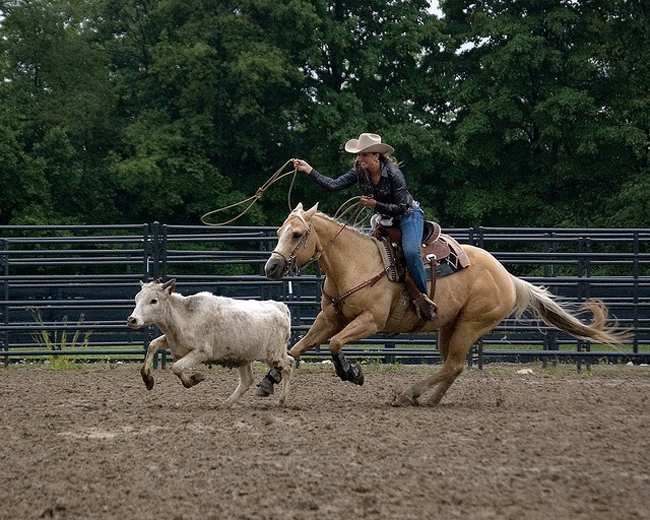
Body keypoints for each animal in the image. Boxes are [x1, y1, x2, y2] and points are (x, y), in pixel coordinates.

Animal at [126, 280, 294, 406]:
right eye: (137, 298)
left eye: (153, 300)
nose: (132, 319)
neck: (185, 315)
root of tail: (281, 307)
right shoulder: (173, 342)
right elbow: (152, 345)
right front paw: (148, 380)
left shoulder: (201, 352)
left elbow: (177, 367)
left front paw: (195, 379)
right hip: (243, 357)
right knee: (247, 381)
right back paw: (226, 404)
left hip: (274, 355)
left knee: (288, 365)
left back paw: (282, 400)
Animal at [260, 203, 624, 406]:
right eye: (278, 231)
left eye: (296, 234)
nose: (271, 267)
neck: (354, 263)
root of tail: (507, 276)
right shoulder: (328, 318)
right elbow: (296, 348)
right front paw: (268, 381)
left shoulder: (369, 321)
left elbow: (335, 345)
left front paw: (353, 373)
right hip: (448, 327)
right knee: (453, 365)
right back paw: (428, 398)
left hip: (471, 324)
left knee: (453, 364)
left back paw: (409, 394)